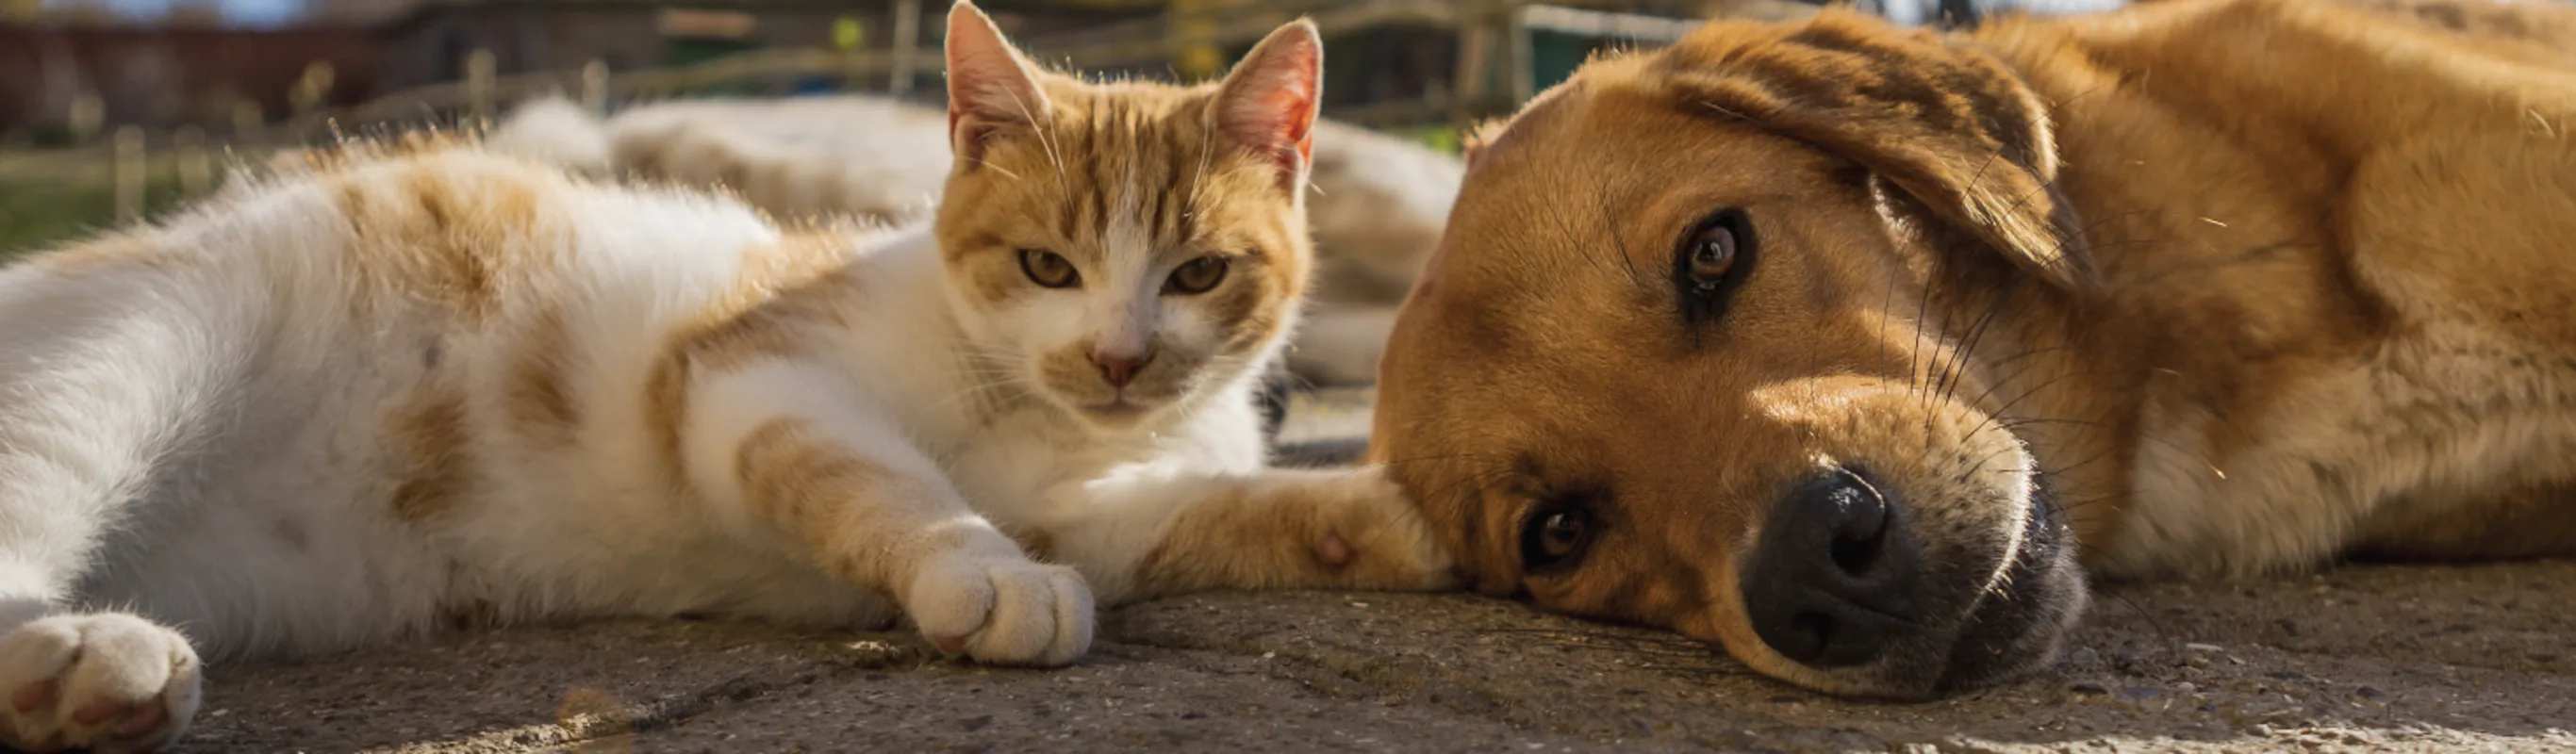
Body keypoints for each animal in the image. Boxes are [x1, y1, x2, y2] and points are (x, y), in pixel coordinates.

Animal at [0, 7, 1462, 751]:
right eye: (1047, 265)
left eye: (1200, 273)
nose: (1115, 355)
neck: (1044, 418)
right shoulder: (747, 374)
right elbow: (886, 482)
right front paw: (978, 572)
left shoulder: (1102, 506)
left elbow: (1199, 514)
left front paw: (1398, 518)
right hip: (135, 343)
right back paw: (78, 650)